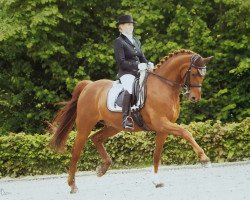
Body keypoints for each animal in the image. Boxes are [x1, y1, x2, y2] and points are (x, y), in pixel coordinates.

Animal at [49, 49, 213, 193]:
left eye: (203, 75)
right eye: (193, 73)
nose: (194, 98)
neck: (164, 87)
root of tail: (89, 85)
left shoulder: (162, 129)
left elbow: (157, 154)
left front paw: (156, 181)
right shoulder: (162, 123)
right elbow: (186, 132)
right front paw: (204, 159)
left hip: (114, 126)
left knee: (96, 138)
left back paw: (103, 168)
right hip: (85, 124)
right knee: (76, 152)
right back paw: (72, 185)